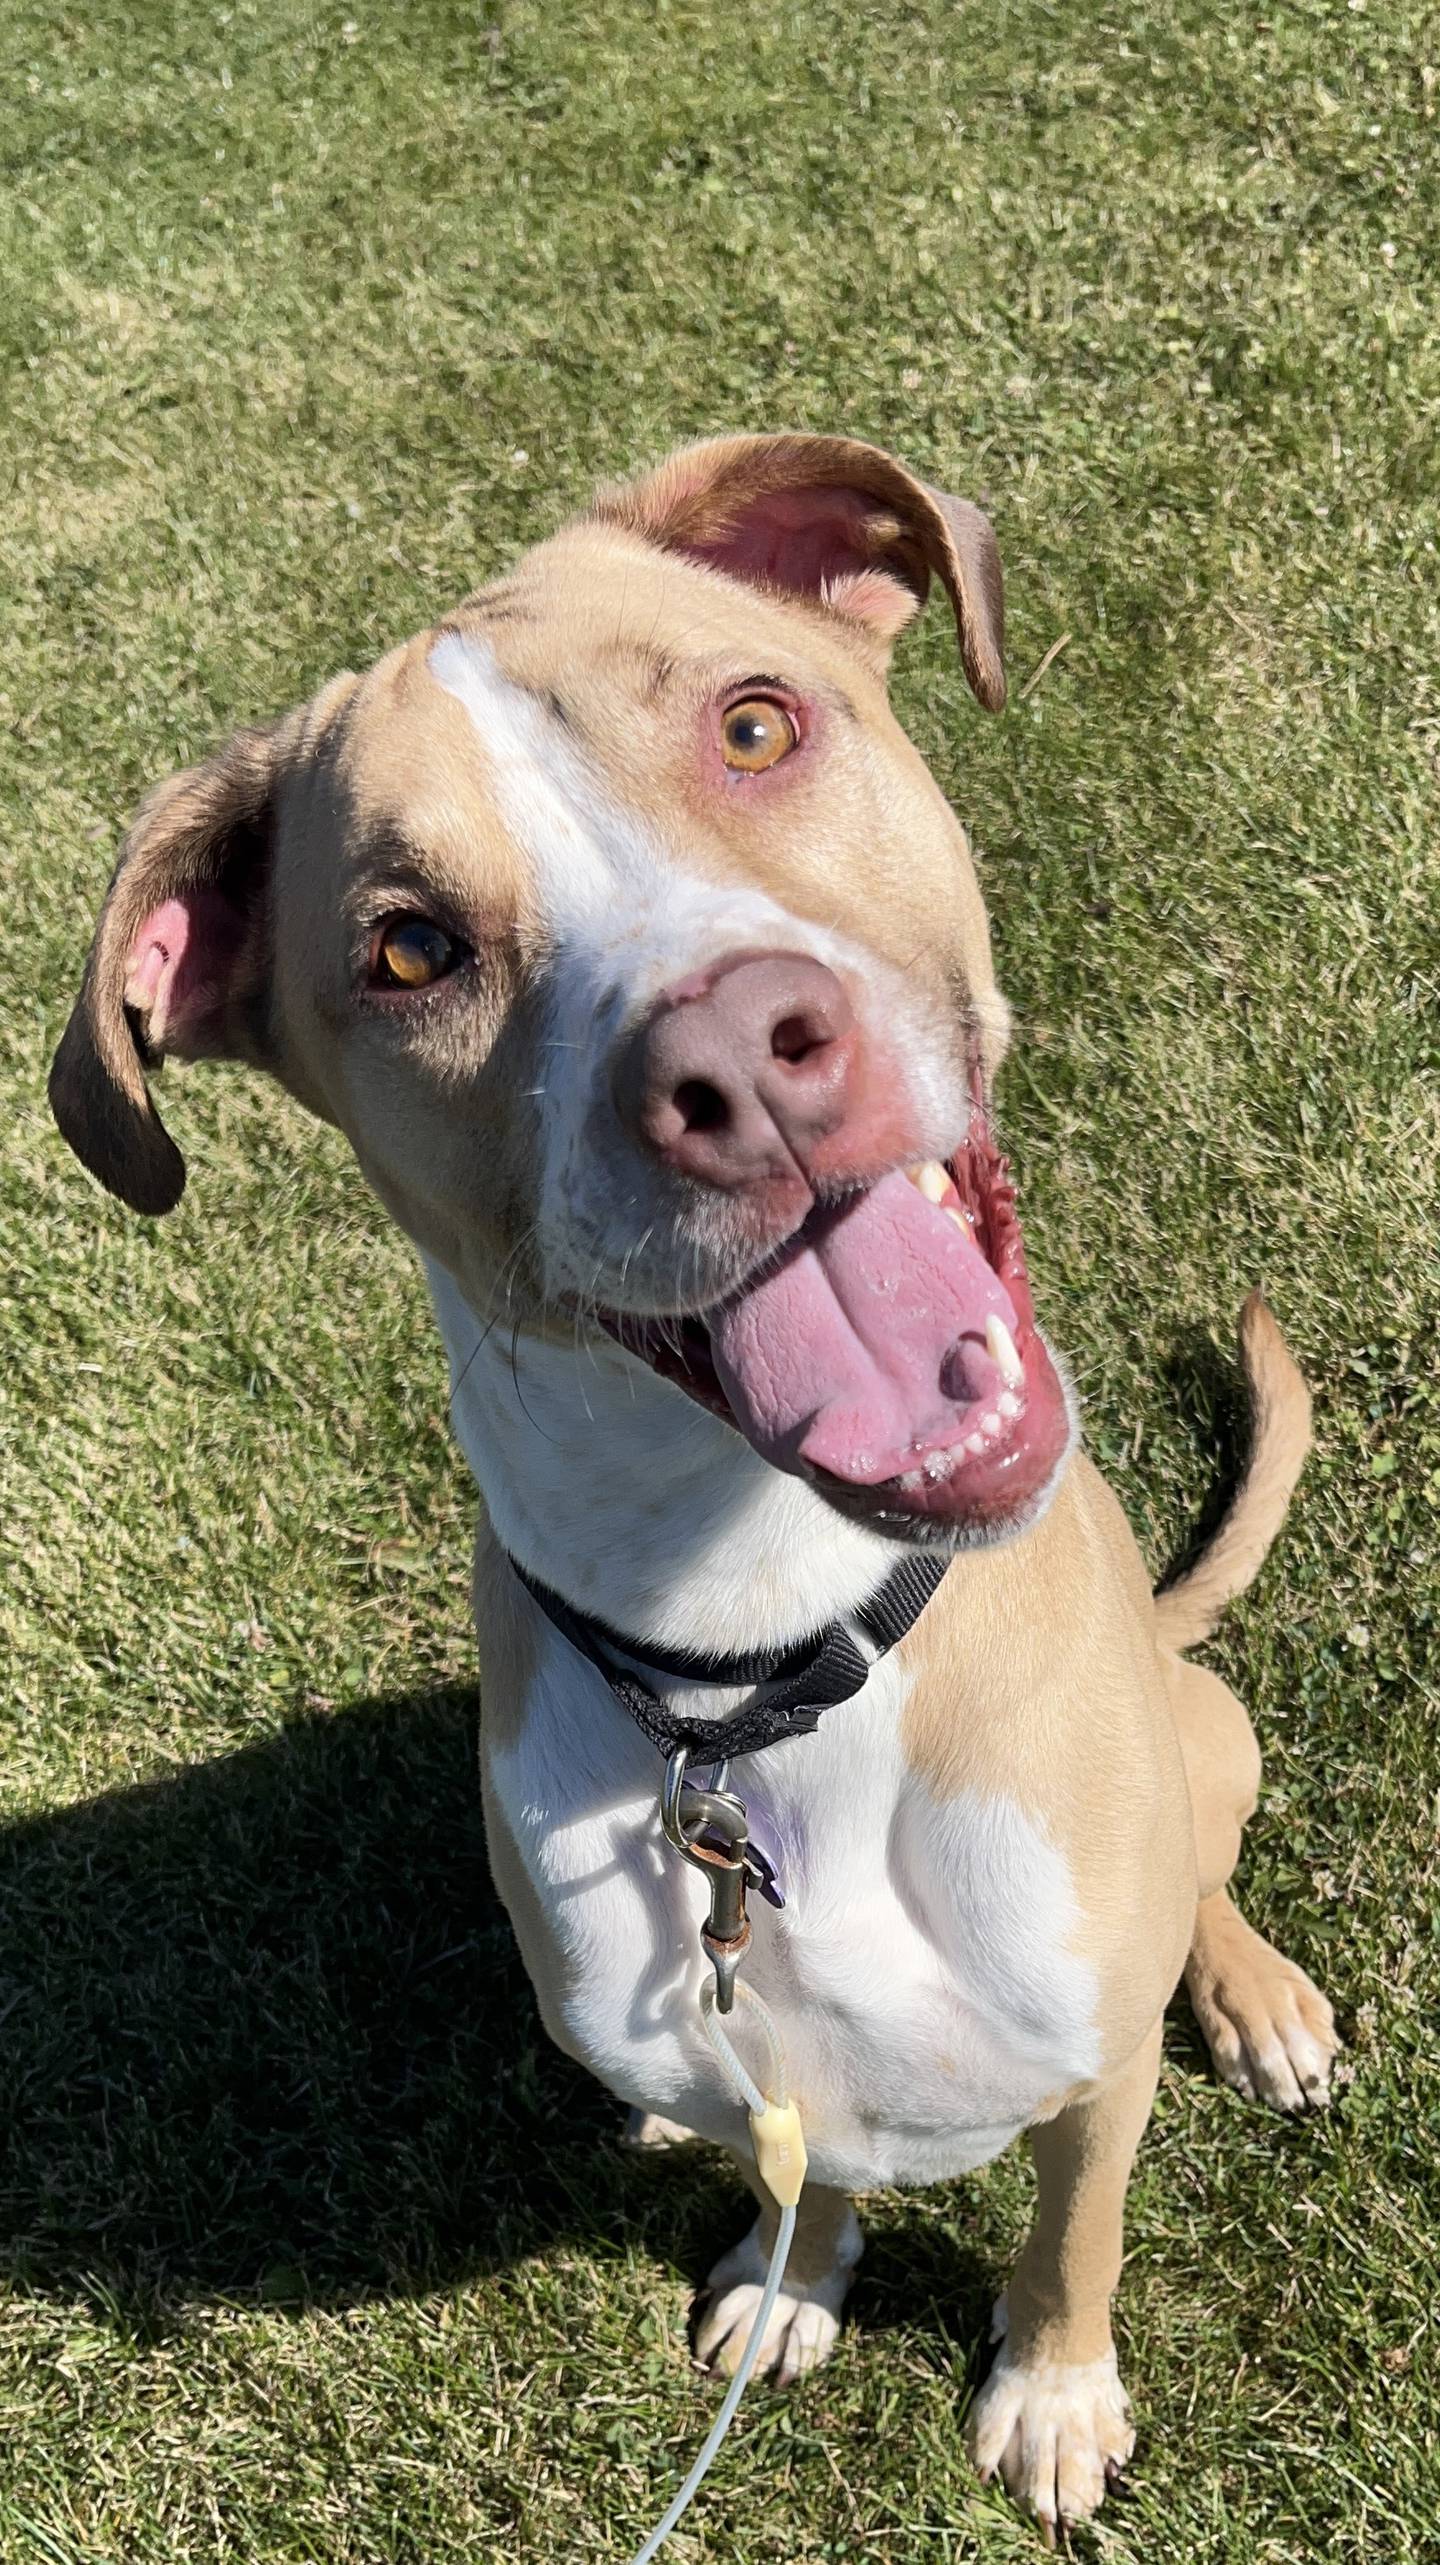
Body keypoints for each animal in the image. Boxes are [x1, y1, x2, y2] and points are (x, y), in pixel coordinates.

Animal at [53, 436, 1334, 2523]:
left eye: (755, 725)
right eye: (407, 948)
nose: (740, 1055)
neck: (763, 1657)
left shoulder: (1088, 2086)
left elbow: (1074, 2235)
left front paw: (1055, 2395)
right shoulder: (762, 2064)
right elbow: (792, 2169)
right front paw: (795, 2277)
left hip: (1198, 1735)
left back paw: (1258, 1997)